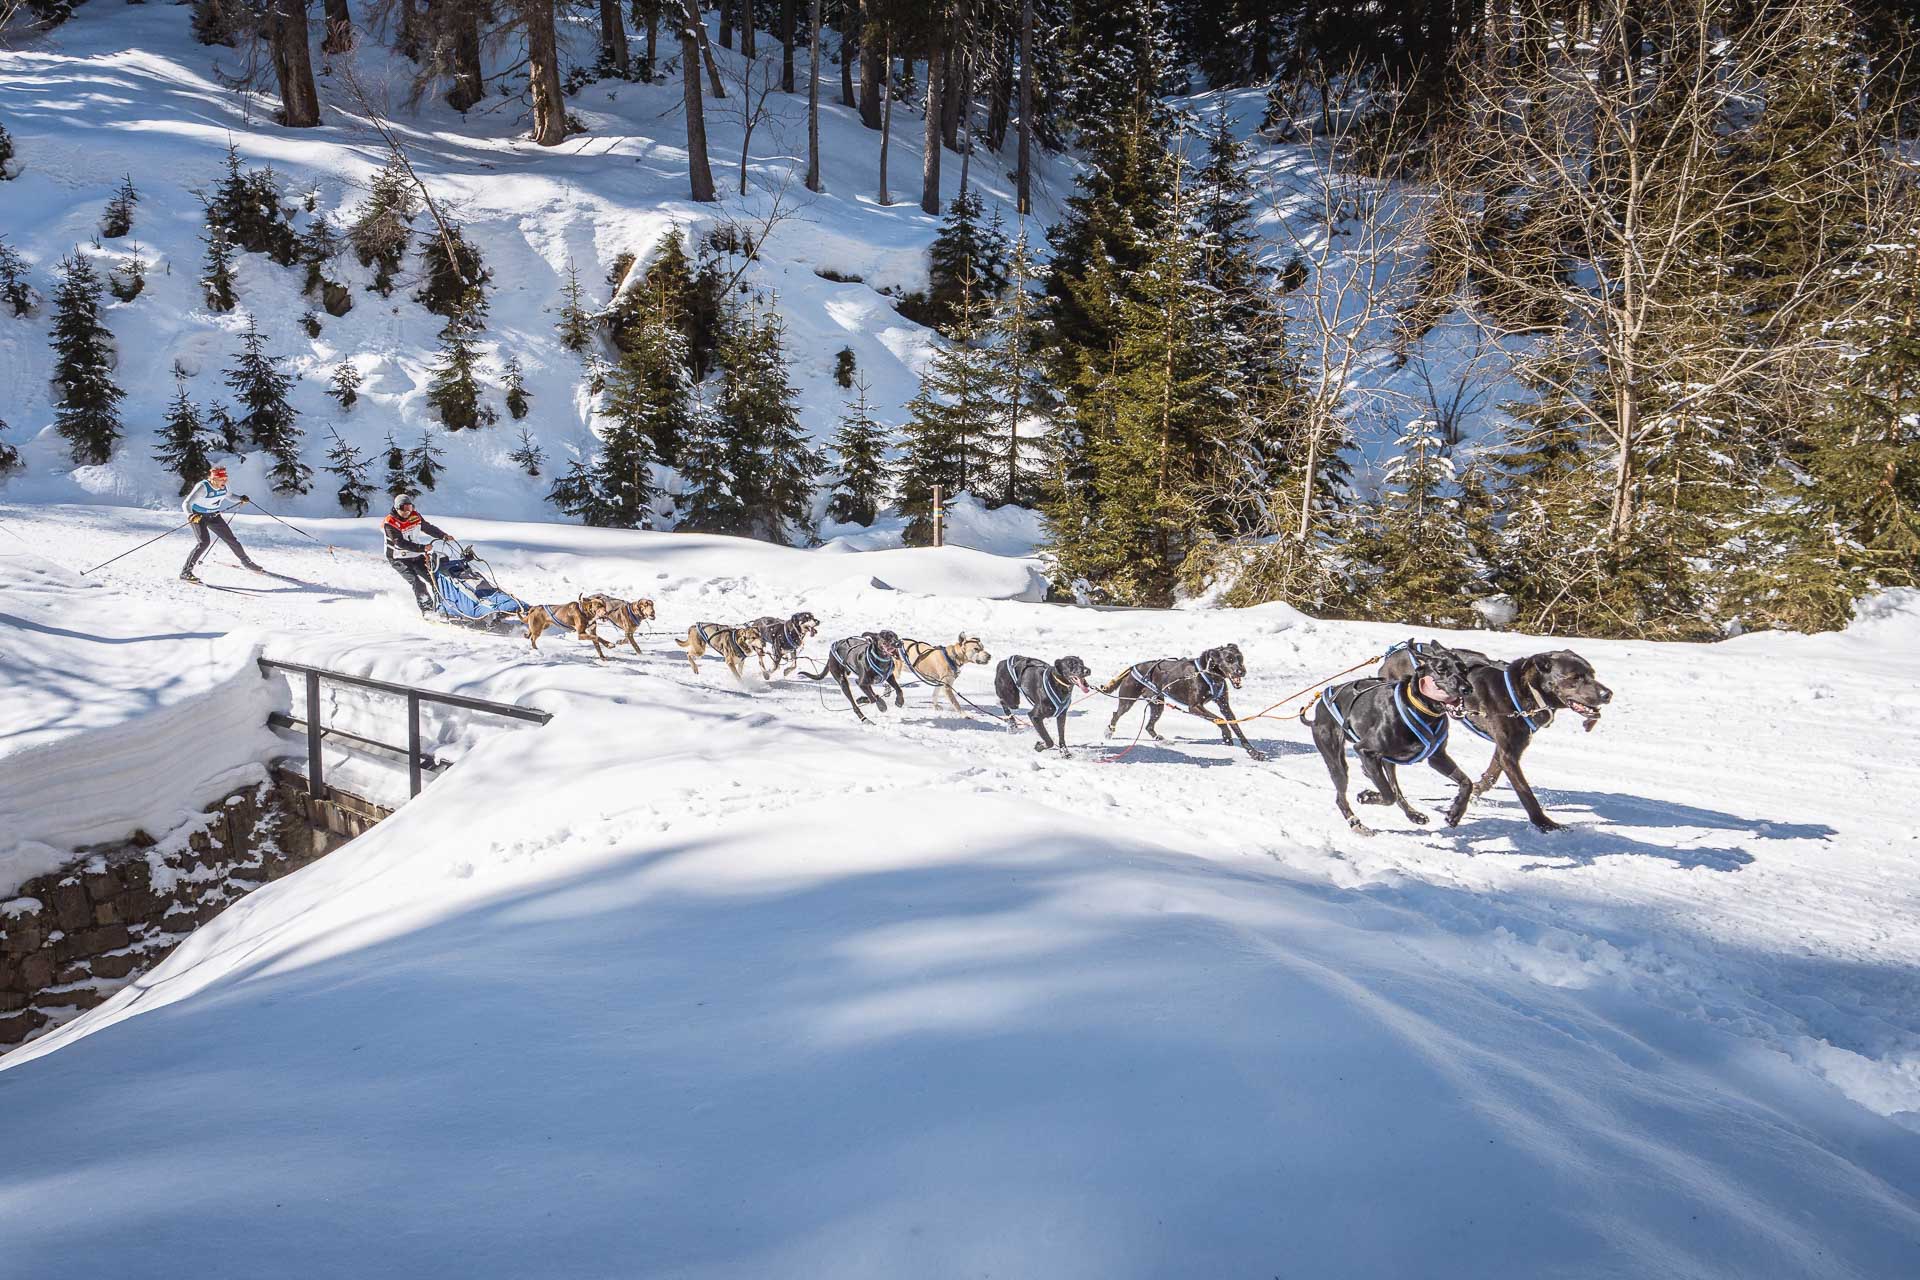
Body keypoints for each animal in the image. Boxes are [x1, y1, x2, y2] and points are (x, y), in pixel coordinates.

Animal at [1382, 644, 1605, 836]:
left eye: (1592, 674)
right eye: (1575, 677)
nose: (1607, 694)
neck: (1524, 690)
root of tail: (1396, 652)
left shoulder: (1508, 748)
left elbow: (1490, 776)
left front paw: (1471, 793)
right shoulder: (1509, 755)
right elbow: (1526, 793)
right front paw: (1544, 823)